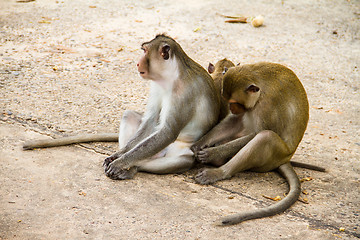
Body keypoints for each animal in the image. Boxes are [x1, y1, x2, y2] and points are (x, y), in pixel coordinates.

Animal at [193, 61, 324, 225]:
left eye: (234, 102)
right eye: (228, 100)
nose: (231, 108)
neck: (260, 84)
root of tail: (287, 158)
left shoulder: (268, 103)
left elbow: (257, 133)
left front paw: (211, 153)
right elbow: (235, 120)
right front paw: (199, 144)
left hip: (274, 157)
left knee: (265, 137)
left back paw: (220, 171)